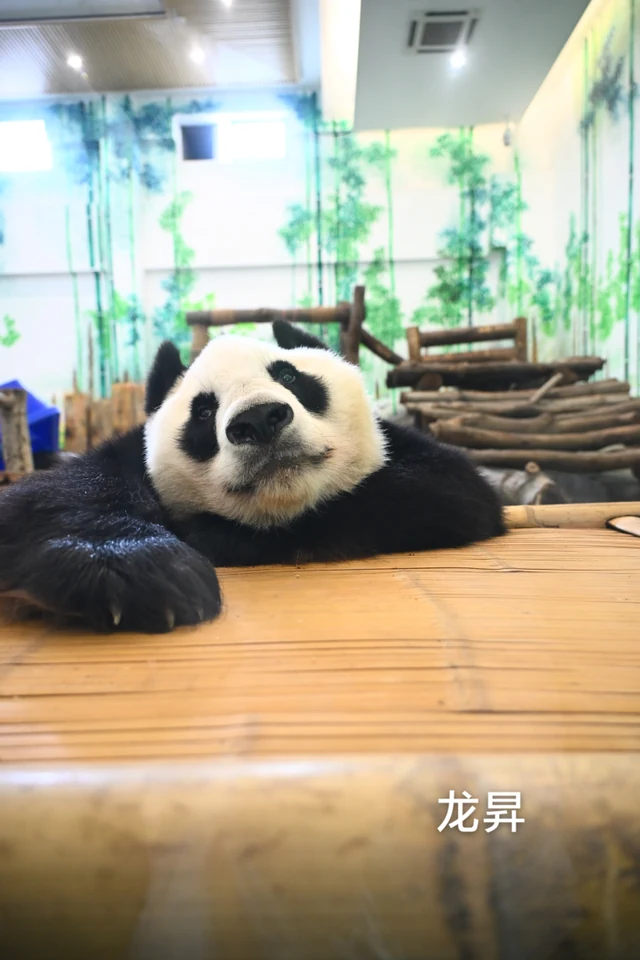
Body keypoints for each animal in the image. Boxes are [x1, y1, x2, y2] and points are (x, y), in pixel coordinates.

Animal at [0, 321, 504, 634]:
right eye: (204, 411)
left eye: (290, 376)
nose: (259, 420)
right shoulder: (121, 459)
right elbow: (52, 497)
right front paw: (144, 572)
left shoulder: (416, 465)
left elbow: (449, 491)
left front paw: (210, 535)